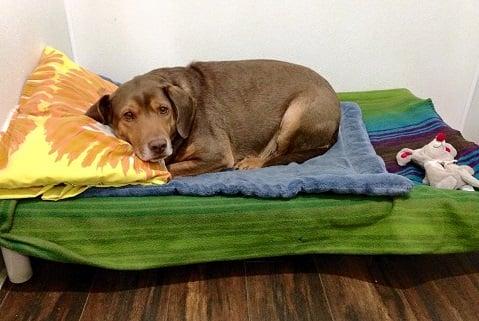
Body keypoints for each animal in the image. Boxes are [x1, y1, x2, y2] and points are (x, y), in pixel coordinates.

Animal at [86, 58, 342, 176]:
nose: (159, 146)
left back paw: (252, 161)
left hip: (296, 114)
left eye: (163, 110)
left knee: (279, 153)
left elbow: (170, 168)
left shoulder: (216, 154)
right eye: (128, 115)